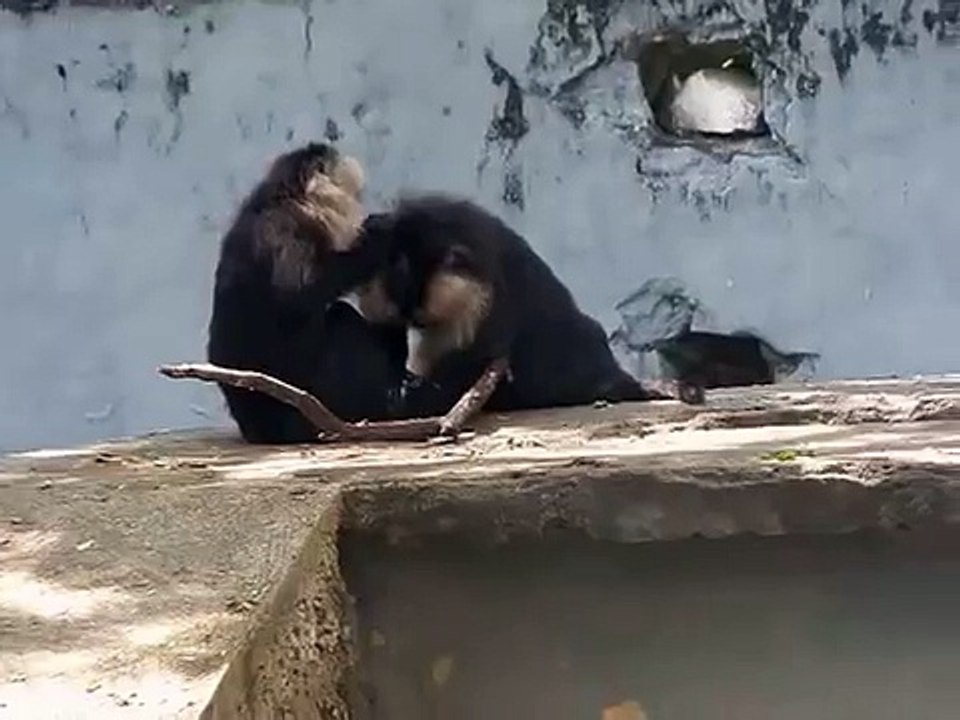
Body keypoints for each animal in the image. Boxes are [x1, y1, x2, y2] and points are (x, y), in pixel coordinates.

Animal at [206, 142, 401, 443]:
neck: (287, 198)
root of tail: (260, 431)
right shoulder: (286, 228)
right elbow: (295, 302)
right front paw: (377, 237)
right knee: (343, 321)